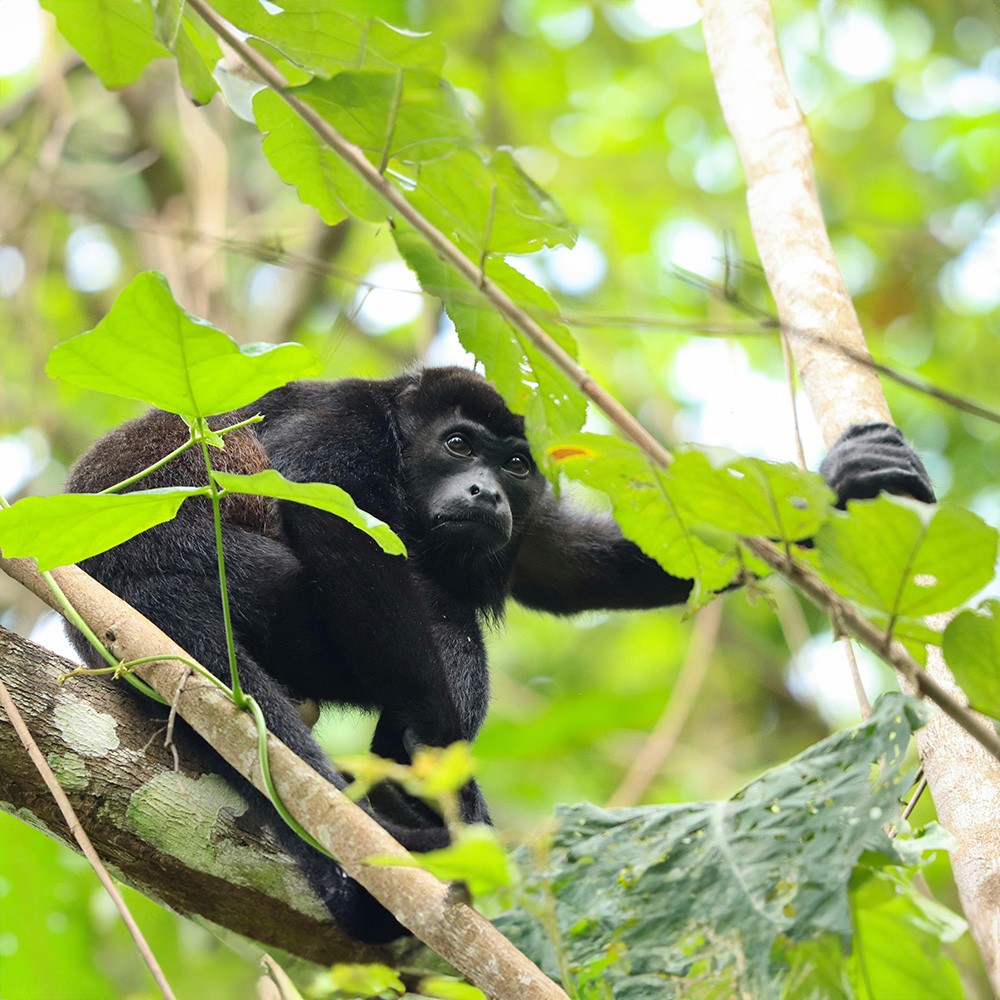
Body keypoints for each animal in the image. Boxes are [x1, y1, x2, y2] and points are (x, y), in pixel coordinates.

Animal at [64, 364, 936, 940]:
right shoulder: (341, 423)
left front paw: (836, 489)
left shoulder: (527, 520)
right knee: (440, 618)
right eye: (458, 445)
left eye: (514, 463)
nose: (486, 491)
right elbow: (335, 526)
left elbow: (568, 564)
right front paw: (441, 767)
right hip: (226, 578)